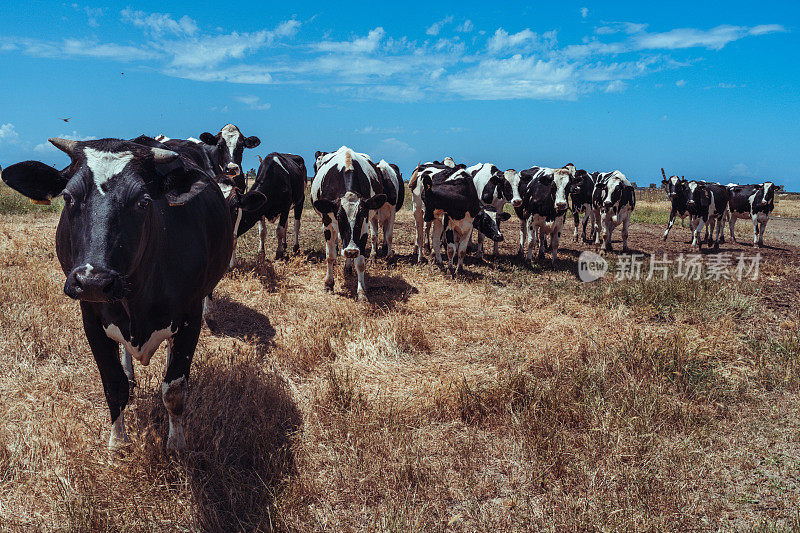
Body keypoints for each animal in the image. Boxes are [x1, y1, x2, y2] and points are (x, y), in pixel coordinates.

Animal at [2, 136, 234, 448]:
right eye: (68, 197)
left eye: (143, 201)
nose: (93, 280)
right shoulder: (91, 317)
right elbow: (114, 385)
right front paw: (117, 443)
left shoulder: (190, 315)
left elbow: (174, 389)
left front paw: (176, 445)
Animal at [310, 145, 386, 300]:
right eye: (339, 217)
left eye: (361, 216)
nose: (351, 251)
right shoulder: (327, 222)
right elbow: (330, 256)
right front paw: (328, 284)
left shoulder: (364, 227)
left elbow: (361, 262)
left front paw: (362, 292)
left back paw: (348, 266)